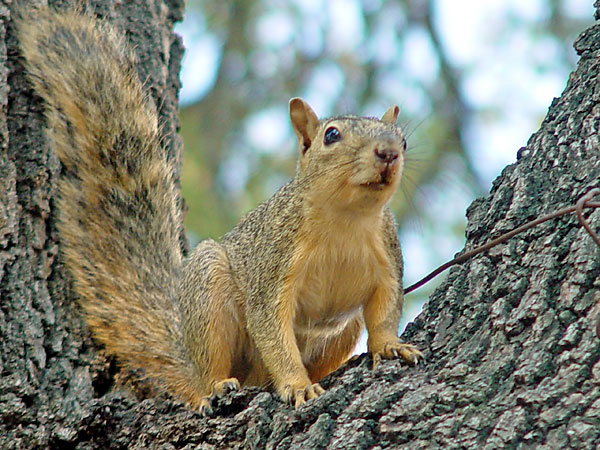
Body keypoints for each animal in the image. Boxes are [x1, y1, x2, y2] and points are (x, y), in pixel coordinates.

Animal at [18, 7, 422, 414]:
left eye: (403, 140)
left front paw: (390, 345)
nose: (389, 153)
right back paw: (215, 387)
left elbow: (385, 309)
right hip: (208, 287)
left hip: (341, 329)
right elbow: (273, 331)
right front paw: (296, 384)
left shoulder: (388, 257)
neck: (345, 218)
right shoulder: (273, 267)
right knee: (211, 366)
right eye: (332, 135)